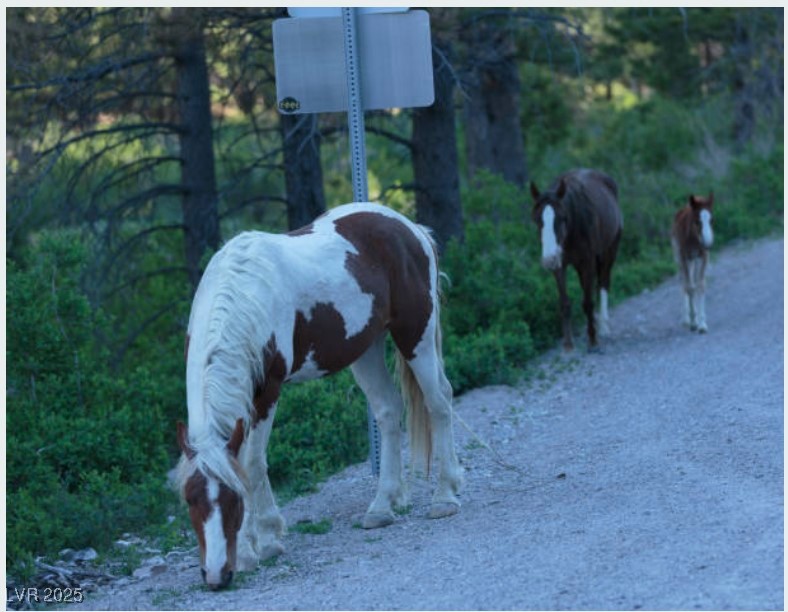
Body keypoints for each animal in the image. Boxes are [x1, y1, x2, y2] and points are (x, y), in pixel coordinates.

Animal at [174, 202, 464, 590]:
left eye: (233, 498)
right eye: (190, 499)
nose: (217, 575)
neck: (243, 294)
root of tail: (408, 227)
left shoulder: (267, 391)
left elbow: (252, 463)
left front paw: (256, 547)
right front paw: (267, 539)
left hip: (416, 333)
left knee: (439, 402)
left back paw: (445, 496)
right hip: (366, 348)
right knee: (388, 411)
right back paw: (382, 506)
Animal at [530, 169, 623, 351]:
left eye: (562, 218)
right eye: (537, 220)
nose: (548, 259)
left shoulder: (588, 262)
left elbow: (587, 301)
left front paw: (593, 338)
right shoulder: (560, 265)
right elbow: (565, 303)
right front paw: (568, 343)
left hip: (610, 251)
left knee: (603, 283)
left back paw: (603, 326)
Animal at [671, 192, 714, 333]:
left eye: (711, 220)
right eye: (697, 220)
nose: (708, 242)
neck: (694, 238)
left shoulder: (703, 256)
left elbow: (700, 285)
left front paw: (702, 324)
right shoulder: (684, 257)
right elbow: (690, 287)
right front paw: (694, 323)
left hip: (694, 261)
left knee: (693, 281)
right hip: (679, 258)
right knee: (683, 282)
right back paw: (685, 319)